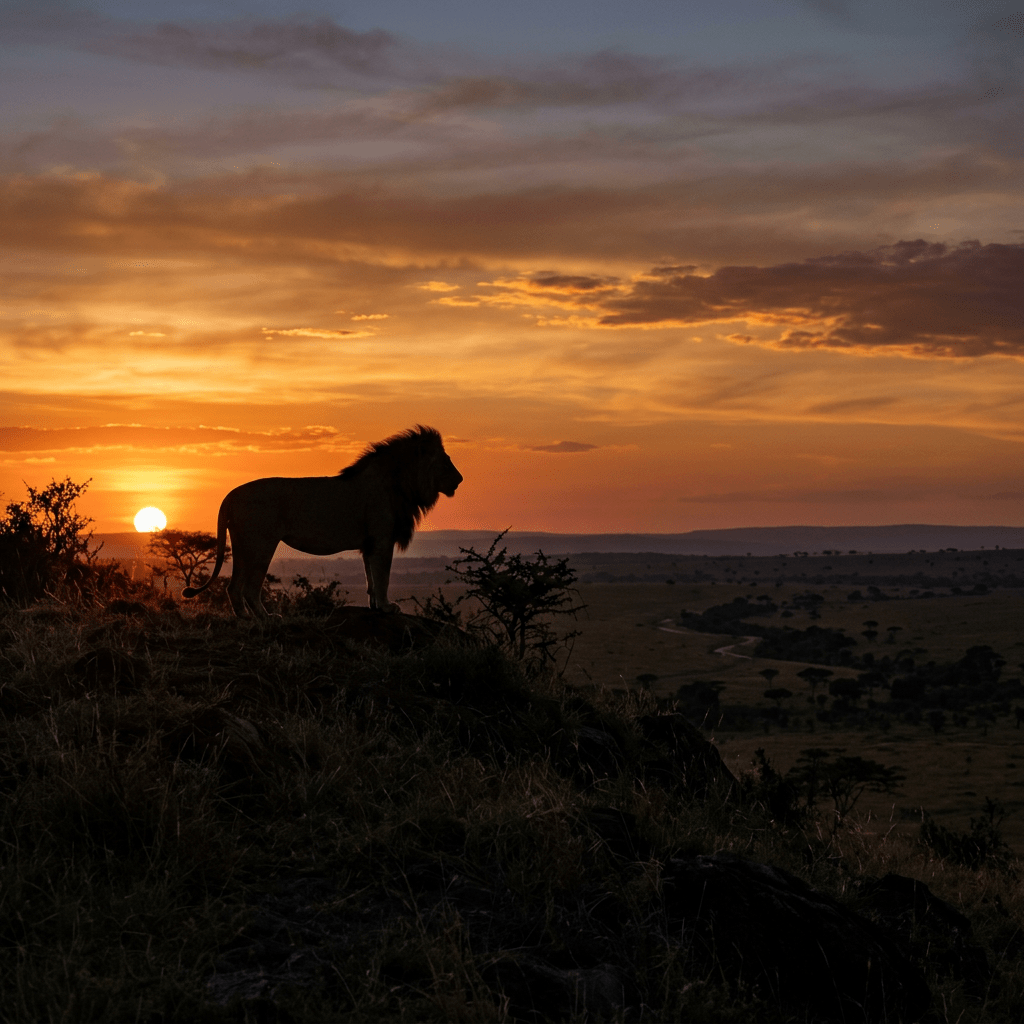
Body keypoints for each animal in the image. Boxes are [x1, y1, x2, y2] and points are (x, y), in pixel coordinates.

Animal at [182, 425, 463, 618]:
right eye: (446, 461)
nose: (460, 479)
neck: (402, 483)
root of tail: (231, 494)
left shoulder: (369, 544)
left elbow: (370, 579)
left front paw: (374, 607)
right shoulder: (382, 539)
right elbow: (382, 576)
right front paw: (386, 607)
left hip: (242, 545)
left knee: (234, 587)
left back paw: (245, 619)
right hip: (262, 544)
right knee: (250, 587)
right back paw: (267, 618)